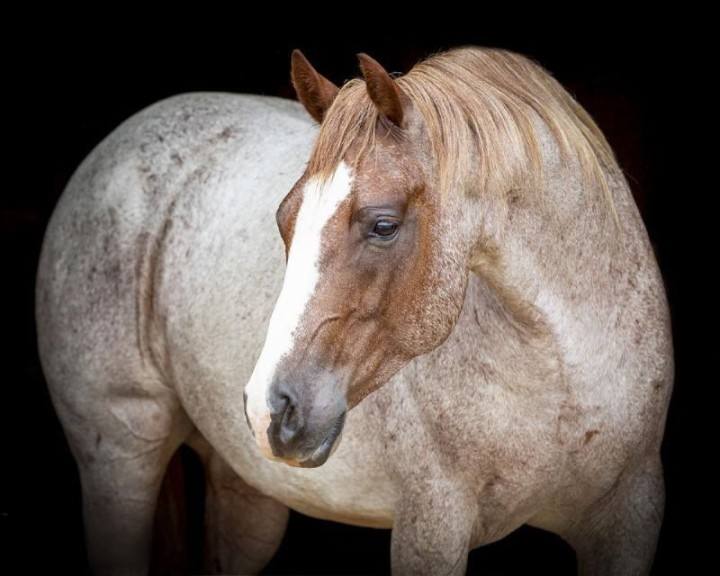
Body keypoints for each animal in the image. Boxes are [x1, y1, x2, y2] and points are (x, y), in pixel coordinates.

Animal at [36, 47, 673, 575]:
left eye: (383, 225)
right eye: (285, 218)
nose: (269, 408)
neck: (565, 375)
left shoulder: (630, 518)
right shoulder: (431, 525)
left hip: (245, 492)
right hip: (121, 461)